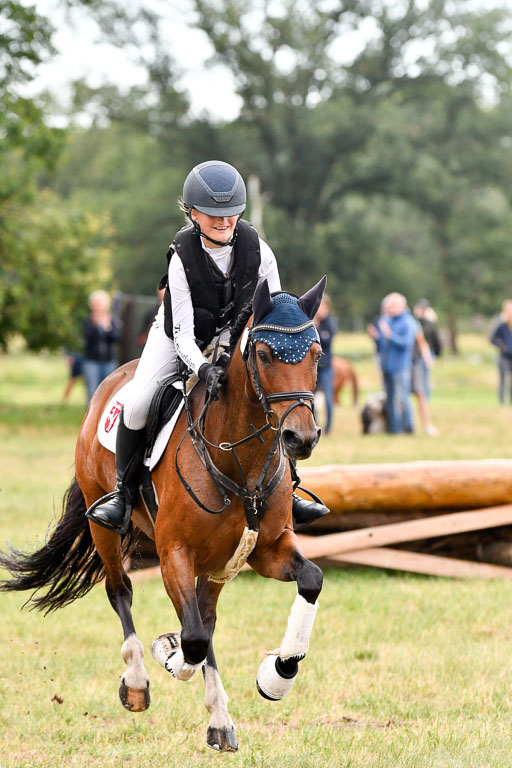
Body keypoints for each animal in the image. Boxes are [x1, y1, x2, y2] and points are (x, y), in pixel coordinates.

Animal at [0, 276, 326, 752]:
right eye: (265, 355)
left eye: (317, 353)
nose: (300, 438)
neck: (238, 460)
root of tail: (112, 381)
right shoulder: (175, 553)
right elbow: (190, 640)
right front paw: (167, 653)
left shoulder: (266, 549)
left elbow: (310, 579)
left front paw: (277, 675)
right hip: (106, 530)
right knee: (122, 592)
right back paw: (138, 682)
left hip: (218, 564)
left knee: (205, 617)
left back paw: (220, 720)